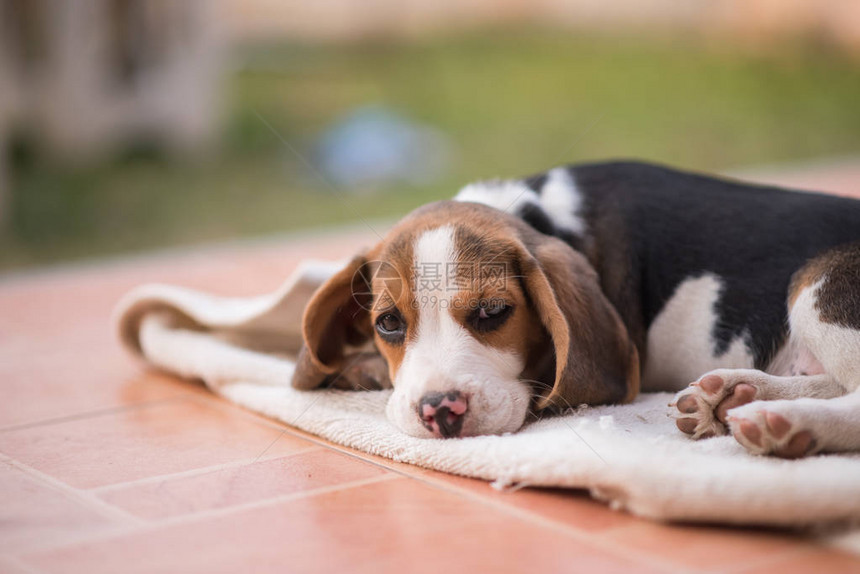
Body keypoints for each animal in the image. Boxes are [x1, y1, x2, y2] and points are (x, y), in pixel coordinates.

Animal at [290, 162, 860, 460]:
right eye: (388, 323)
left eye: (493, 311)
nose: (439, 410)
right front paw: (358, 367)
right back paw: (734, 397)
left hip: (820, 282)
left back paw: (784, 420)